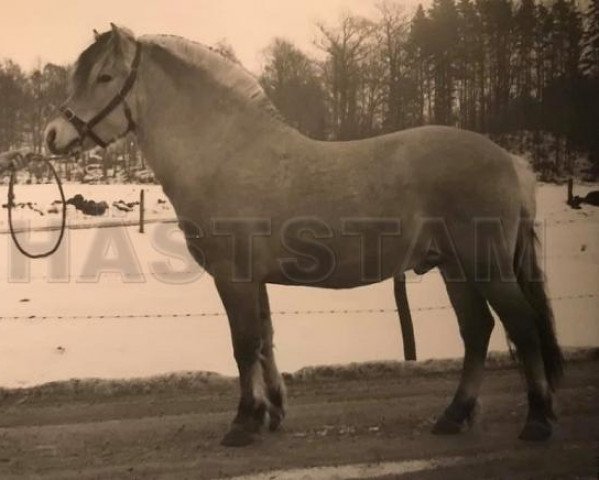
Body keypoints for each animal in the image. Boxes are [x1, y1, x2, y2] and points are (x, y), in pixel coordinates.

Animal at [44, 25, 564, 446]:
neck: (225, 155)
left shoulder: (233, 278)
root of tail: (512, 161)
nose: (51, 136)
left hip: (486, 267)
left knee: (522, 325)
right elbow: (265, 340)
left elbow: (243, 344)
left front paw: (243, 423)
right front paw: (272, 412)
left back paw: (537, 420)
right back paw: (454, 416)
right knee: (477, 331)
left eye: (104, 78)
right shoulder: (255, 279)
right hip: (455, 268)